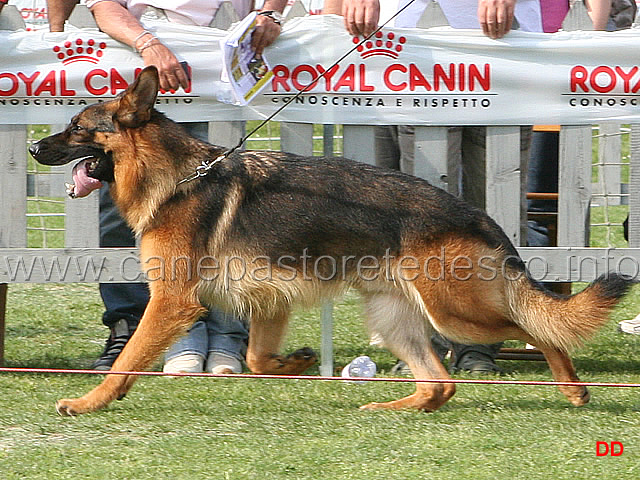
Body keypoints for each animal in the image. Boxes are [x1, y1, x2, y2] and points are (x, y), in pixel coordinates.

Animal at [28, 67, 632, 416]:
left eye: (78, 127)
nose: (34, 148)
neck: (177, 178)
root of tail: (477, 217)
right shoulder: (266, 302)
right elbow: (256, 358)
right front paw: (295, 362)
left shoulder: (172, 303)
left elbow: (127, 360)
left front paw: (88, 402)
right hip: (394, 318)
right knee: (440, 385)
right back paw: (394, 407)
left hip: (456, 313)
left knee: (535, 329)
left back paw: (572, 386)